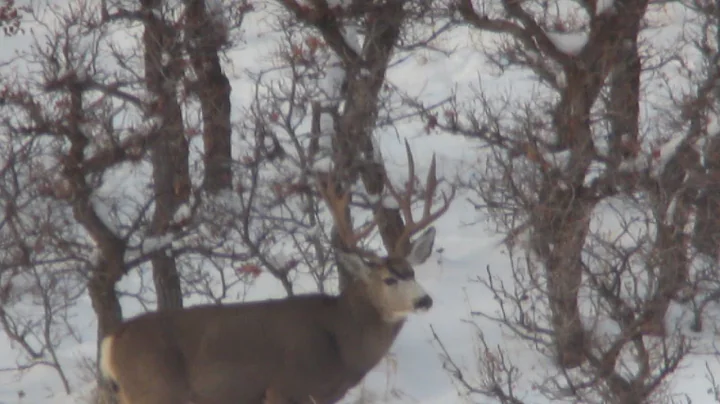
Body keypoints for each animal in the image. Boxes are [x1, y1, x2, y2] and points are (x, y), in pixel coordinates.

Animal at [99, 152, 454, 404]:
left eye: (411, 272)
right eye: (388, 279)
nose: (424, 300)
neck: (341, 339)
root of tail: (111, 342)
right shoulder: (285, 388)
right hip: (154, 392)